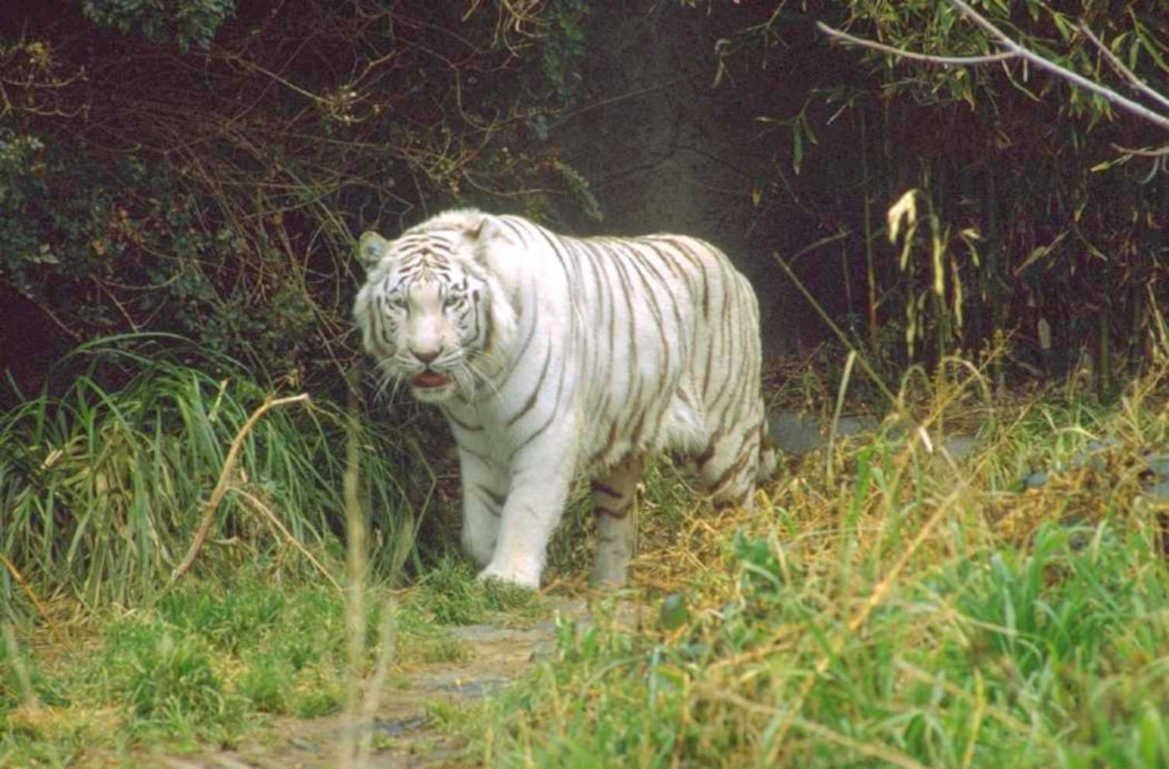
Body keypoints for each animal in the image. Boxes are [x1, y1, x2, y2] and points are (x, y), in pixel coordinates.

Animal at [353, 209, 776, 589]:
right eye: (400, 304)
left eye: (451, 301)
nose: (426, 354)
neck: (481, 386)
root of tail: (736, 272)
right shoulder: (477, 445)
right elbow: (479, 521)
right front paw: (486, 559)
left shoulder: (547, 434)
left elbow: (526, 508)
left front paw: (508, 578)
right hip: (622, 450)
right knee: (617, 524)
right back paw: (607, 589)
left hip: (727, 438)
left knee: (740, 509)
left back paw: (739, 569)